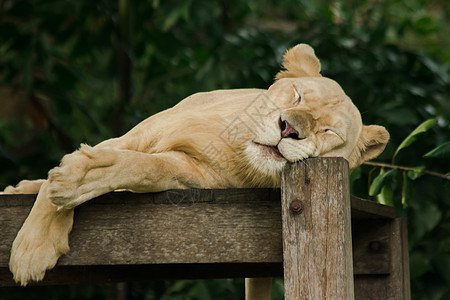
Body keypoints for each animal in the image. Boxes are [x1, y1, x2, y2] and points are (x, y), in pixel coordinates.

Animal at [2, 43, 386, 296]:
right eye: (297, 96)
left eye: (329, 132)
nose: (288, 128)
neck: (235, 144)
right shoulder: (135, 135)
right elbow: (81, 170)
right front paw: (34, 245)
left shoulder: (193, 174)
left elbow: (142, 167)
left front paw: (74, 181)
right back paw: (19, 188)